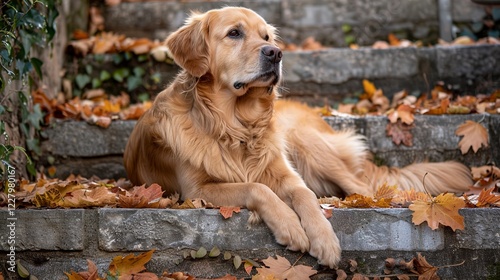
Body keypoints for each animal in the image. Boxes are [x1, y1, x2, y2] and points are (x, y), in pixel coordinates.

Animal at [123, 6, 470, 268]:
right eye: (234, 33)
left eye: (266, 36)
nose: (276, 53)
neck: (235, 125)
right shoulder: (196, 190)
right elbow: (257, 187)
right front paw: (291, 226)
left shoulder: (285, 173)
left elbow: (303, 194)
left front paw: (324, 238)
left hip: (306, 142)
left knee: (363, 187)